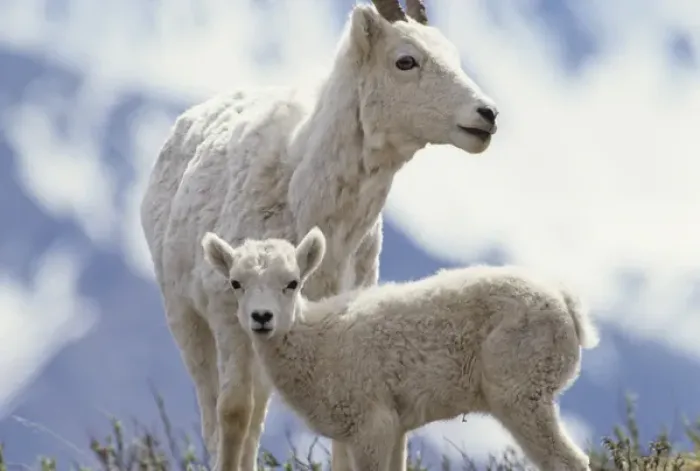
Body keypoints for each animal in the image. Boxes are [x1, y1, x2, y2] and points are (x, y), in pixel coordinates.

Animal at [139, 1, 499, 470]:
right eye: (405, 60)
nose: (487, 115)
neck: (305, 200)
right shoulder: (227, 314)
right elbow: (232, 412)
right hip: (185, 319)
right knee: (219, 415)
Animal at [200, 227, 599, 471]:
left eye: (293, 283)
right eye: (235, 283)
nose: (262, 318)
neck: (317, 344)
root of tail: (567, 307)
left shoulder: (372, 424)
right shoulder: (394, 427)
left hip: (520, 393)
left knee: (568, 462)